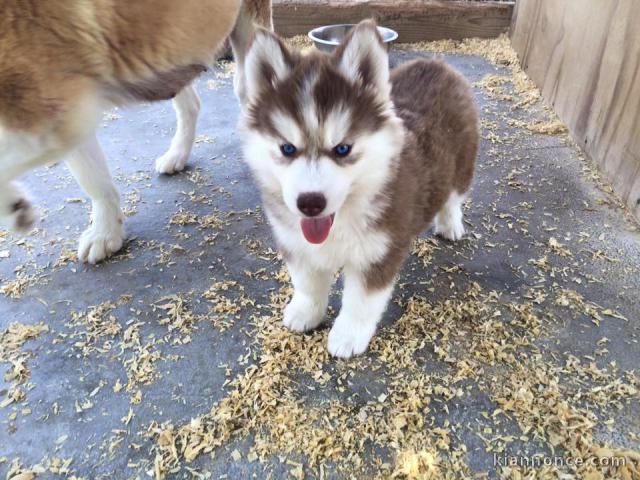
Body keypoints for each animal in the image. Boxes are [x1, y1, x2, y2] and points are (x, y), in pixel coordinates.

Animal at [0, 0, 272, 262]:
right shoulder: (68, 116)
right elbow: (95, 180)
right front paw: (105, 232)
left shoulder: (56, 115)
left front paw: (14, 204)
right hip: (173, 45)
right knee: (192, 104)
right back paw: (177, 155)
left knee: (247, 90)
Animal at [239, 20, 476, 358]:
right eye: (287, 148)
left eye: (342, 149)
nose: (310, 203)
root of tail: (436, 64)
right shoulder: (296, 243)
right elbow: (307, 282)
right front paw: (306, 311)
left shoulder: (378, 252)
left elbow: (361, 301)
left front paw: (348, 335)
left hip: (463, 162)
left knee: (454, 197)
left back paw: (451, 224)